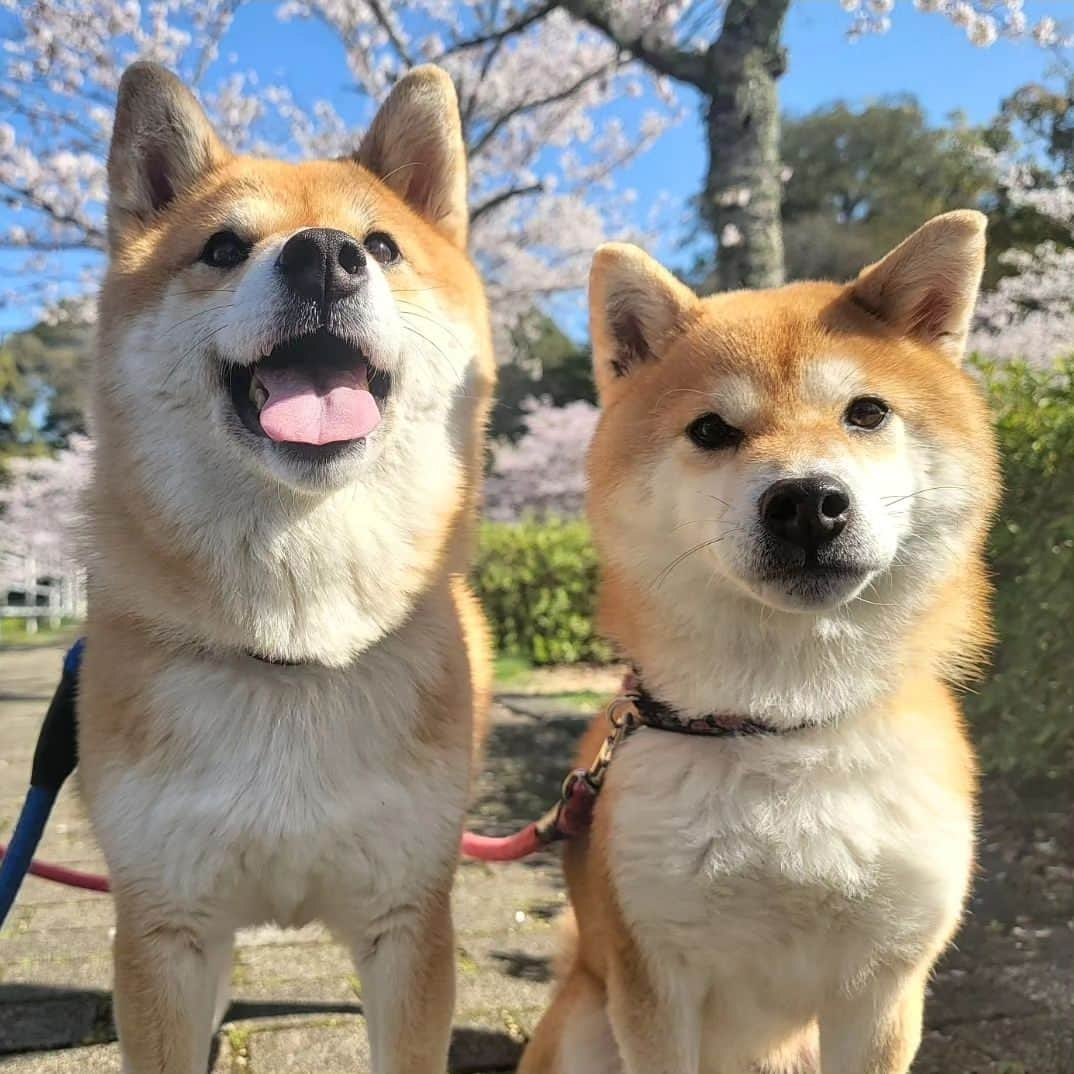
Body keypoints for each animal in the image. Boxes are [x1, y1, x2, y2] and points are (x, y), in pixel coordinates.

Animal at [78, 62, 494, 1069]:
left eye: (381, 245)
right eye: (224, 248)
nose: (324, 256)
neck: (294, 651)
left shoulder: (408, 920)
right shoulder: (165, 927)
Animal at [519, 211, 996, 1074]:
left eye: (866, 413)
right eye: (711, 430)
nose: (807, 501)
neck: (782, 720)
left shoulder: (883, 986)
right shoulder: (654, 980)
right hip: (589, 1021)